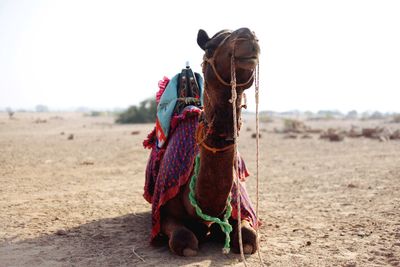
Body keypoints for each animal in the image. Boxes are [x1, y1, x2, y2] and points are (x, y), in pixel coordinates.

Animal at [143, 27, 260, 258]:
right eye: (210, 46)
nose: (248, 35)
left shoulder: (240, 207)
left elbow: (249, 237)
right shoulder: (165, 213)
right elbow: (183, 240)